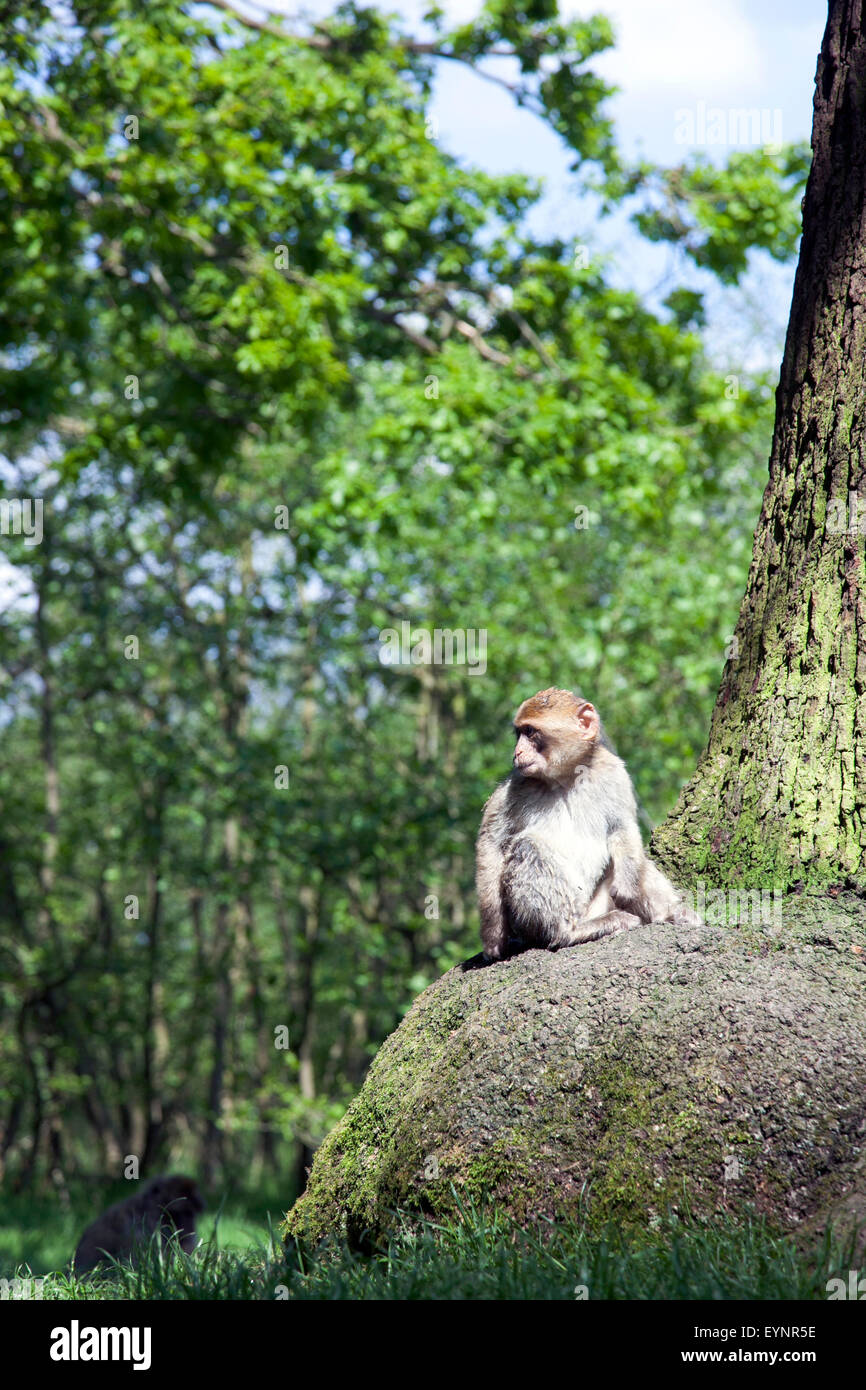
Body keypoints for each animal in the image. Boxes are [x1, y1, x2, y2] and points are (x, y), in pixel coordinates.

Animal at [476, 687, 700, 962]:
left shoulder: (614, 772)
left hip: (598, 903)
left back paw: (670, 914)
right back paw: (568, 931)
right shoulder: (516, 785)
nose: (517, 753)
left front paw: (630, 888)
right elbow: (492, 842)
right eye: (519, 733)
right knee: (529, 846)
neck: (566, 777)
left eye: (530, 732)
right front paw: (493, 935)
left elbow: (621, 827)